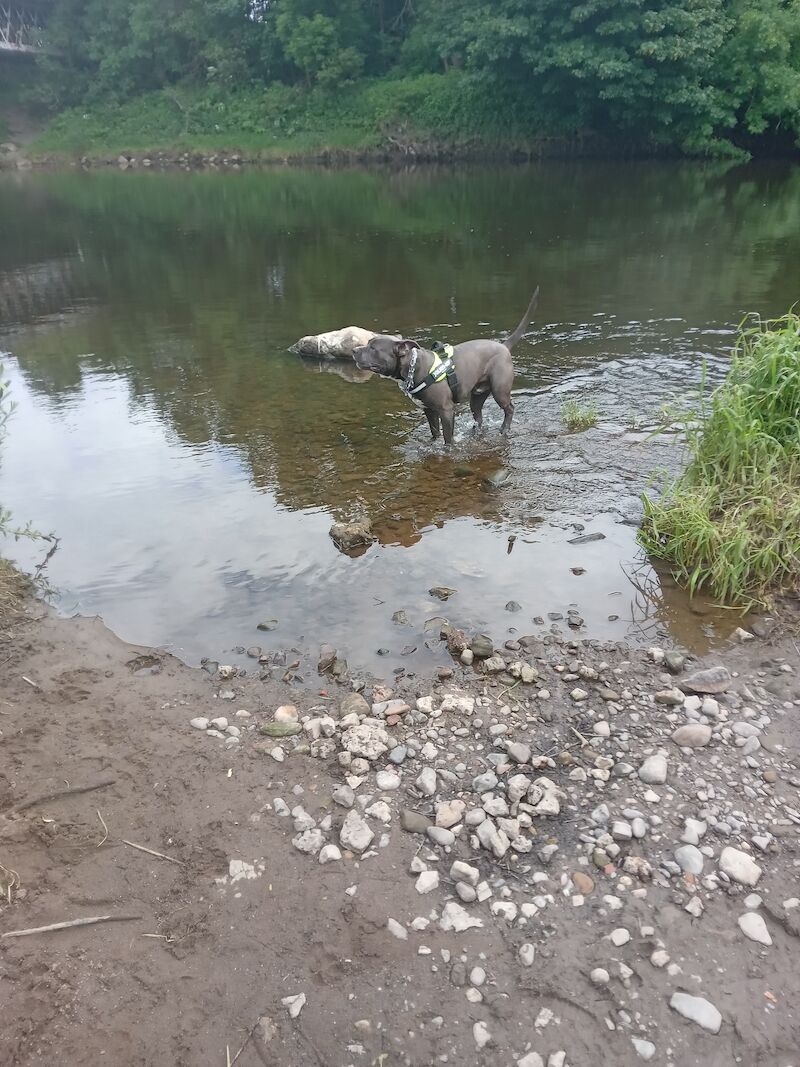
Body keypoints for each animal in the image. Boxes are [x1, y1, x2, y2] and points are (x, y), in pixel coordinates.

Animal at [356, 285, 539, 443]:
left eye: (373, 348)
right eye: (368, 342)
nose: (355, 350)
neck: (414, 367)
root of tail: (504, 346)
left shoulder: (446, 410)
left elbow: (448, 439)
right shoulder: (429, 410)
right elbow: (435, 432)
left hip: (500, 390)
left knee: (510, 409)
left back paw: (504, 430)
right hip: (477, 396)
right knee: (478, 416)